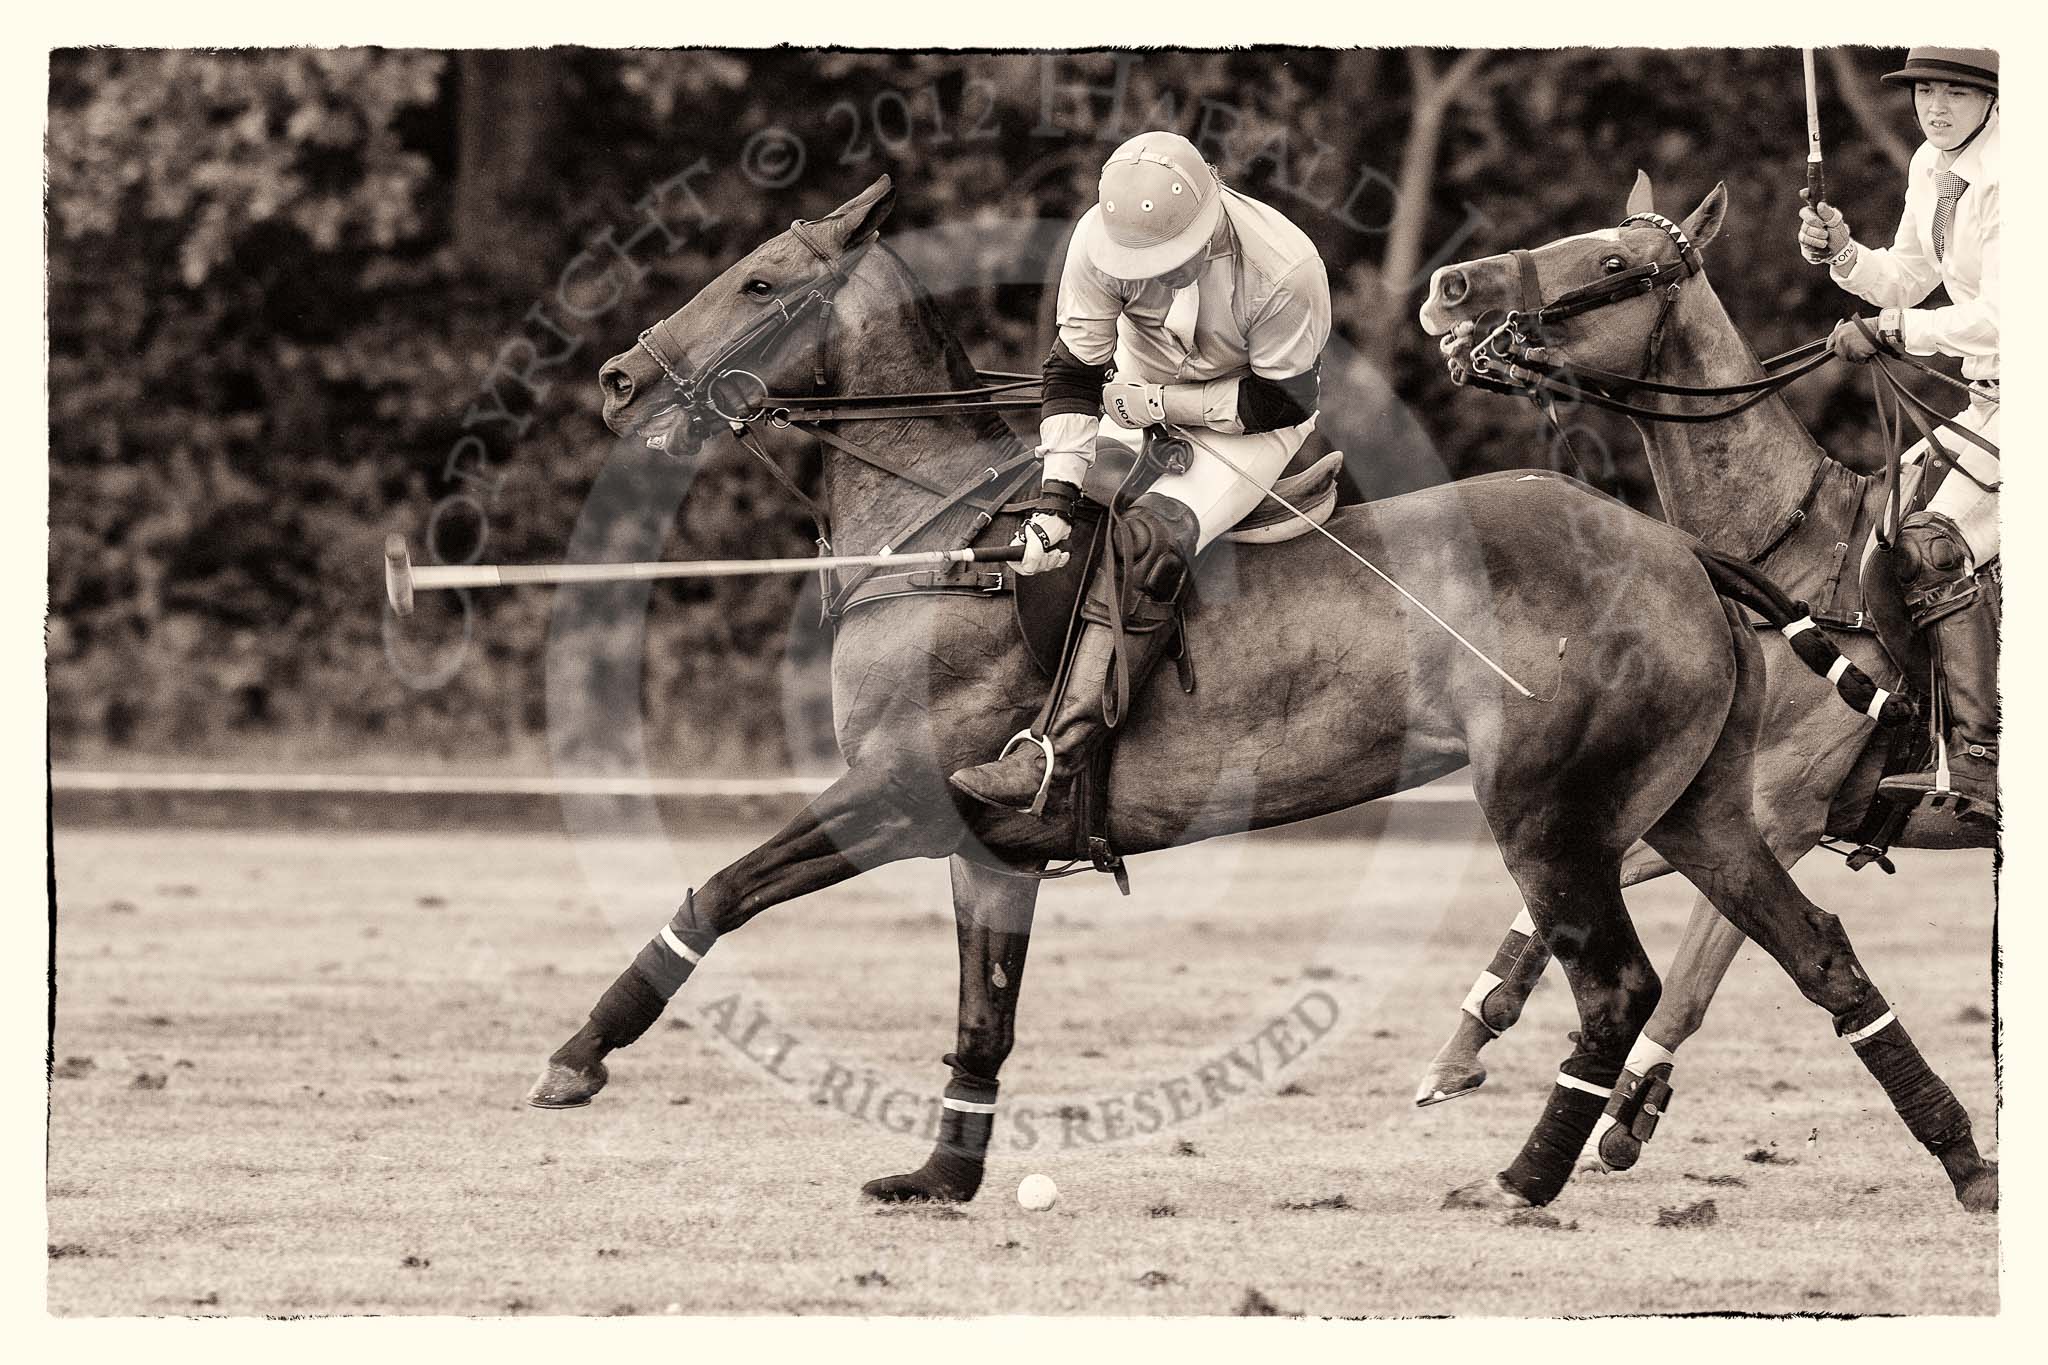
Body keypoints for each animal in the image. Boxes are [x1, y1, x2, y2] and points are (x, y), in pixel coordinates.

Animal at [520, 175, 1990, 1211]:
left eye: (761, 278)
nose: (619, 377)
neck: (945, 540)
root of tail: (1684, 550)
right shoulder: (982, 842)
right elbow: (982, 1012)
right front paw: (940, 1177)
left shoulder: (896, 791)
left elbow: (714, 893)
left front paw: (577, 1055)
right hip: (1701, 808)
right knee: (1817, 957)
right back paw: (1961, 1157)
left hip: (1550, 810)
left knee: (1622, 984)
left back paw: (1524, 1176)